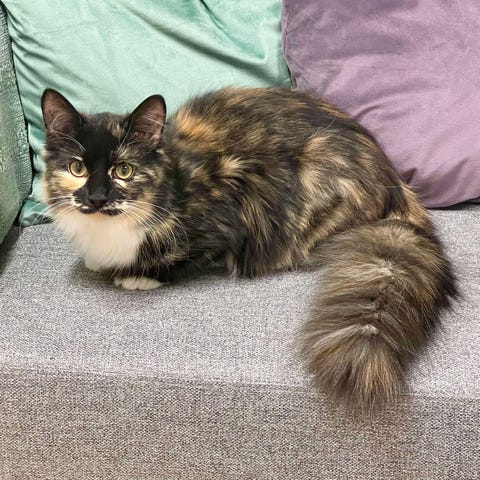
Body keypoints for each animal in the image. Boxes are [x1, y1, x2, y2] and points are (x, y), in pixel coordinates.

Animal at [40, 87, 457, 408]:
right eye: (77, 168)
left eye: (122, 170)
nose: (96, 198)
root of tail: (395, 183)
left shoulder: (227, 216)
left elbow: (184, 260)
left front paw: (138, 277)